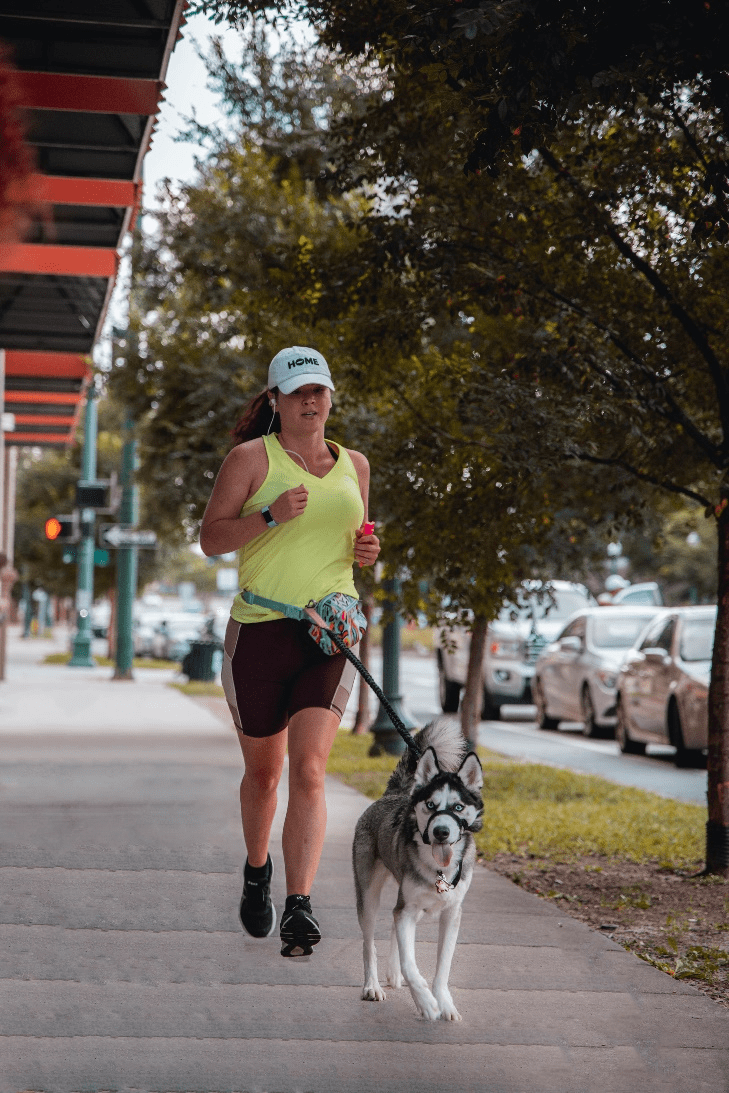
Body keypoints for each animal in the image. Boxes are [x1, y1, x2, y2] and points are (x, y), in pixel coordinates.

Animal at [354, 721, 485, 1018]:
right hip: (368, 894)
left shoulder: (451, 914)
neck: (439, 871)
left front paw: (444, 1002)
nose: (441, 832)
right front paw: (425, 1001)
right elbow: (409, 964)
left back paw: (391, 975)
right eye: (430, 805)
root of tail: (392, 794)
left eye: (458, 807)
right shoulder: (408, 911)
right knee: (368, 942)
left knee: (392, 920)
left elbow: (443, 966)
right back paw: (372, 986)